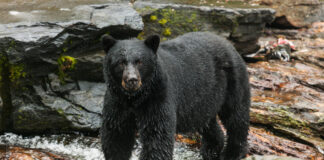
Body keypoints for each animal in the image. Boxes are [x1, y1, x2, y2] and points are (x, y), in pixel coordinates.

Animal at [101, 31, 251, 160]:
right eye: (121, 62)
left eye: (140, 61)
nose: (132, 80)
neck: (135, 98)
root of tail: (228, 43)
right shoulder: (117, 102)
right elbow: (117, 135)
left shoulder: (158, 95)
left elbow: (157, 136)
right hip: (204, 99)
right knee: (207, 122)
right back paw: (211, 149)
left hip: (233, 80)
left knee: (236, 115)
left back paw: (233, 152)